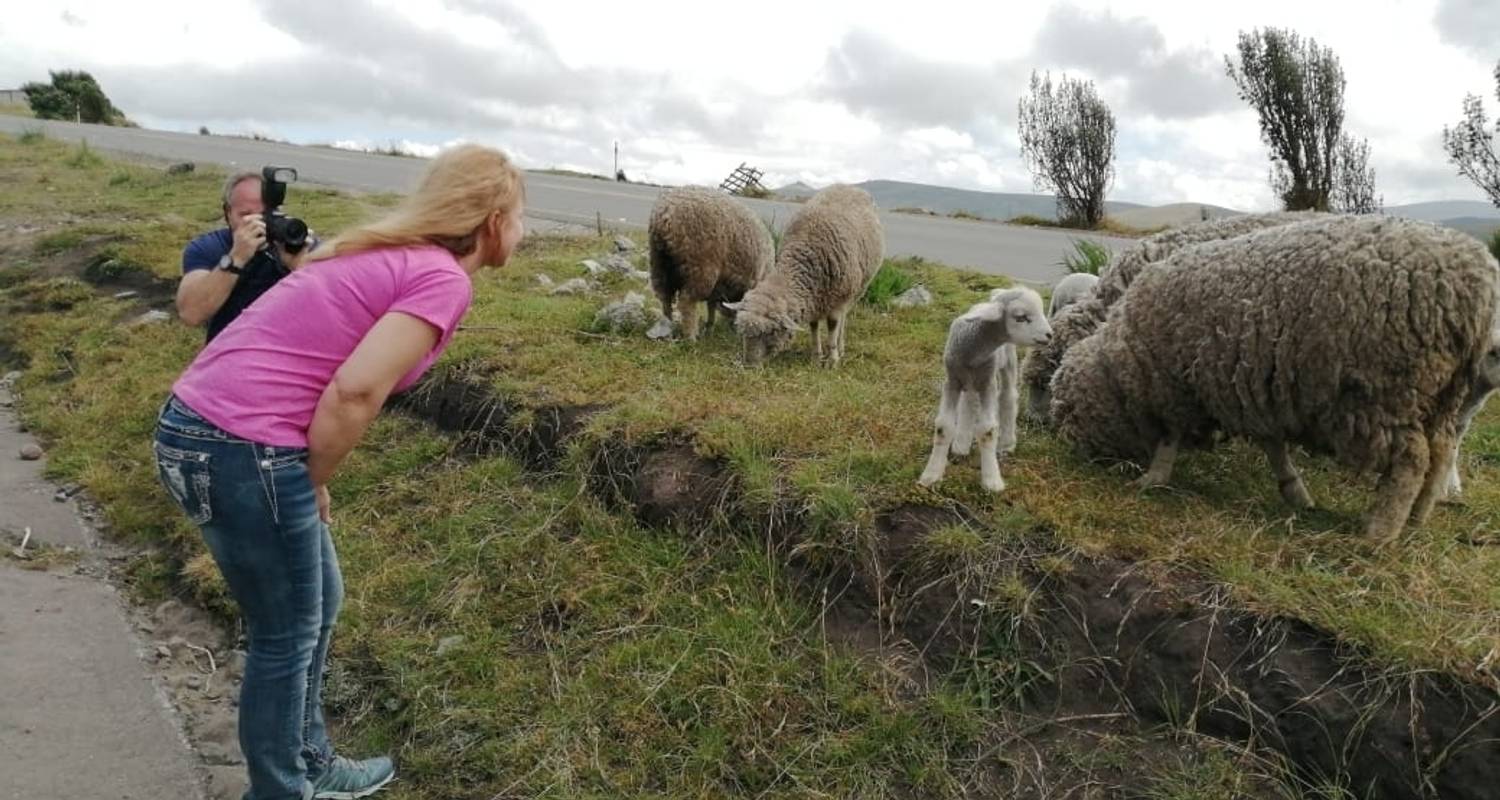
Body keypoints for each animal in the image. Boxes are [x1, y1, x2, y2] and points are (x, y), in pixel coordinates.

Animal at [645, 187, 774, 340]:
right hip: (701, 266)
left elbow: (711, 305)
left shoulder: (719, 285)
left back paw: (667, 327)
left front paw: (710, 328)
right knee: (686, 302)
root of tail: (665, 214)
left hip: (659, 262)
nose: (732, 327)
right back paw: (691, 337)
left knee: (665, 297)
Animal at [723, 183, 882, 364]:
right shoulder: (813, 299)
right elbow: (813, 326)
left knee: (843, 319)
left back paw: (840, 348)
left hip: (857, 289)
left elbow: (833, 325)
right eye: (742, 331)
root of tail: (848, 186)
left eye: (771, 331)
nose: (749, 365)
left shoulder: (838, 299)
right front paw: (816, 356)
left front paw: (832, 359)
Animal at [912, 283, 1056, 489]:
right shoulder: (952, 381)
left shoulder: (988, 382)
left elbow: (987, 431)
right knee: (970, 400)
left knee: (1007, 397)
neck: (973, 352)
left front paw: (992, 481)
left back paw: (1007, 443)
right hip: (972, 380)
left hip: (1007, 362)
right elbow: (943, 427)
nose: (1050, 335)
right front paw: (931, 475)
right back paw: (961, 444)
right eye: (1021, 317)